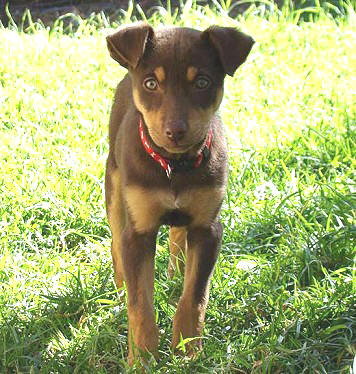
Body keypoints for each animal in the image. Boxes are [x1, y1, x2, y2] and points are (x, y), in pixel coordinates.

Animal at [104, 22, 254, 366]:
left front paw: (188, 350)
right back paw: (117, 292)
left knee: (177, 239)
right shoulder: (139, 232)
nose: (175, 132)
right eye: (151, 83)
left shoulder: (207, 228)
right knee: (116, 244)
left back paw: (175, 275)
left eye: (202, 82)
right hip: (114, 190)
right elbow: (140, 304)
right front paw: (142, 358)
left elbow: (195, 295)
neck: (175, 165)